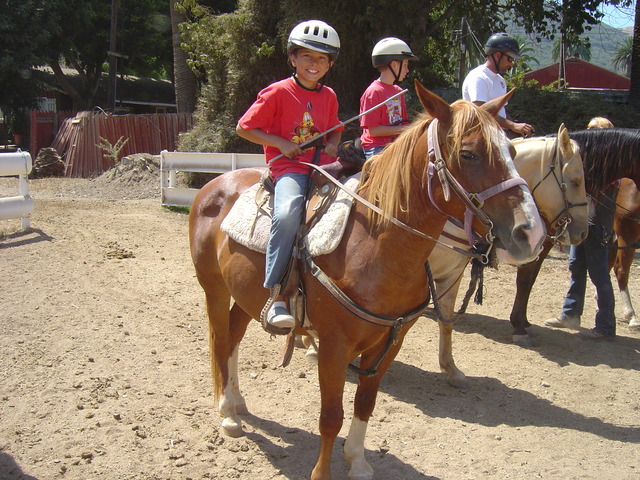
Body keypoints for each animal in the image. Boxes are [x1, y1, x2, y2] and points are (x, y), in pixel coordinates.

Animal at [188, 80, 546, 480]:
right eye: (469, 154)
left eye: (511, 149)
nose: (531, 233)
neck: (376, 246)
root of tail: (216, 183)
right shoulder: (333, 346)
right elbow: (331, 417)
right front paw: (322, 473)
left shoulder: (390, 343)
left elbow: (365, 403)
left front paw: (357, 461)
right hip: (214, 289)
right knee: (220, 341)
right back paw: (226, 413)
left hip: (247, 296)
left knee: (233, 337)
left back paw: (237, 402)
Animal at [428, 125, 588, 387]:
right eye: (575, 181)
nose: (583, 231)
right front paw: (520, 328)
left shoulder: (452, 271)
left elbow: (446, 318)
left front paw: (450, 369)